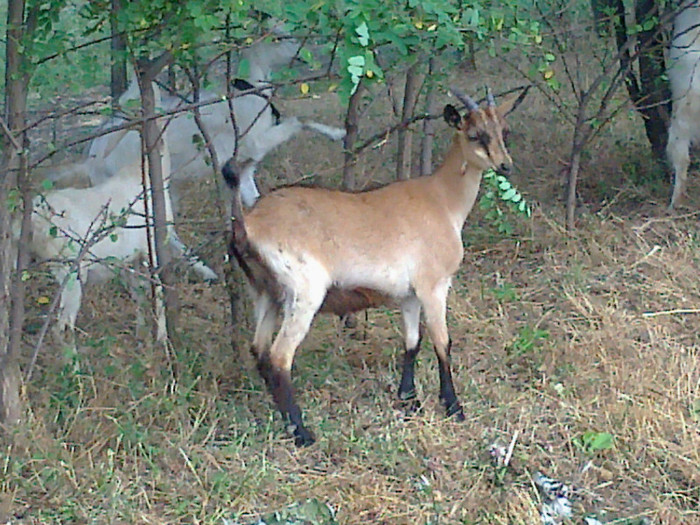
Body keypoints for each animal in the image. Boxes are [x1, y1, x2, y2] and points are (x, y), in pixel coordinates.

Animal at [89, 39, 346, 207]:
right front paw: (339, 132)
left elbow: (255, 200)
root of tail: (92, 155)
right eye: (279, 38)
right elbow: (298, 120)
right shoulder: (253, 142)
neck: (247, 92)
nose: (304, 52)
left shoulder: (244, 165)